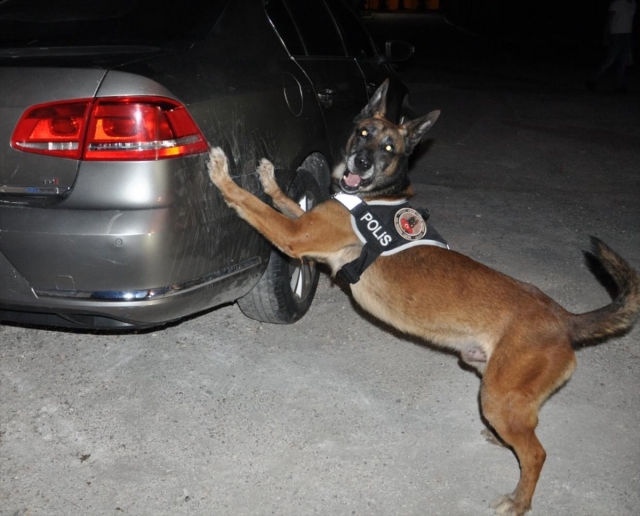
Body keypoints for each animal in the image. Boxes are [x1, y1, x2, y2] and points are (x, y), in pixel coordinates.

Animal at [209, 80, 640, 516]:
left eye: (388, 148)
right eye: (363, 133)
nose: (362, 161)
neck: (376, 195)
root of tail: (564, 316)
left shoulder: (295, 238)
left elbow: (252, 205)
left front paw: (223, 175)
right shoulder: (305, 226)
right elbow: (283, 202)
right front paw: (269, 180)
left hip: (497, 397)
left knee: (536, 453)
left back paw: (518, 501)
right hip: (494, 381)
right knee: (528, 431)